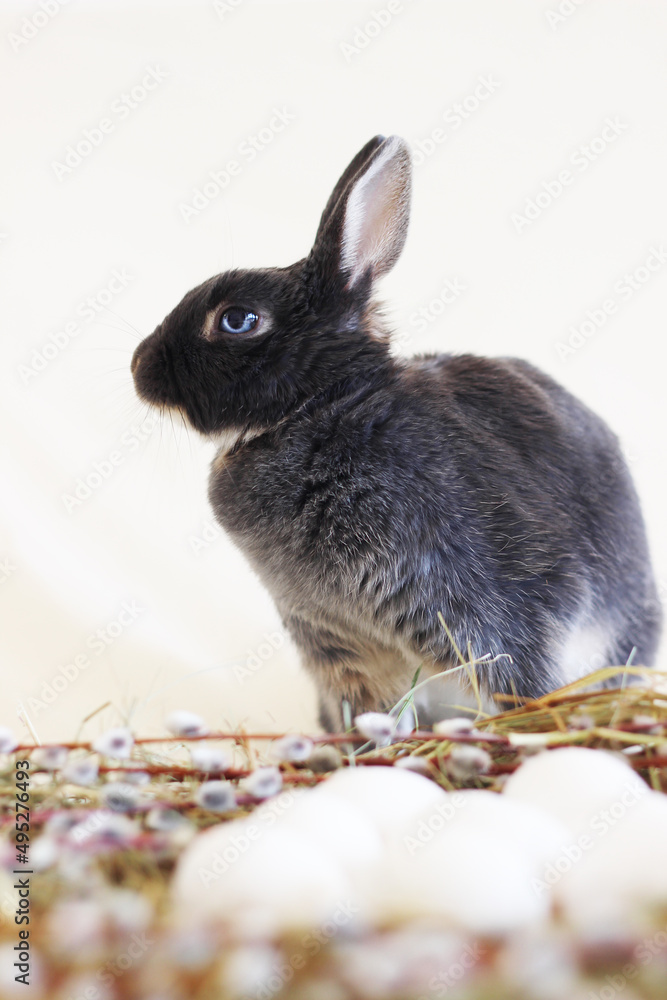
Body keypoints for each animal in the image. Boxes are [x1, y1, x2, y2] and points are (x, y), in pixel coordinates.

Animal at [131, 134, 662, 729]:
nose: (137, 366)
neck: (320, 408)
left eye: (237, 319)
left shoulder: (488, 613)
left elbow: (521, 680)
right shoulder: (337, 644)